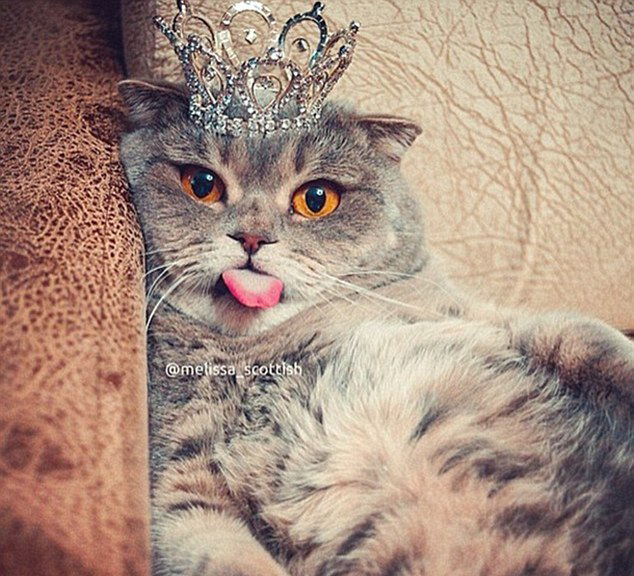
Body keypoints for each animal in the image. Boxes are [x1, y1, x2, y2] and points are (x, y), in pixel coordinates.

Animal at [119, 79, 634, 576]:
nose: (252, 237)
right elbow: (228, 557)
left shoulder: (487, 319)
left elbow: (584, 340)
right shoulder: (181, 493)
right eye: (202, 183)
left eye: (316, 199)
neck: (278, 349)